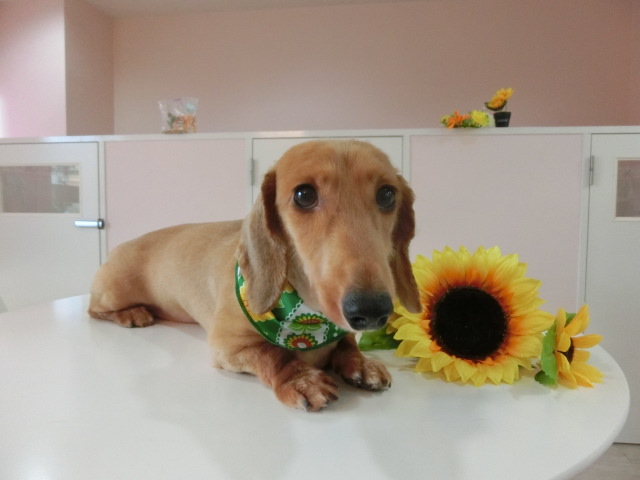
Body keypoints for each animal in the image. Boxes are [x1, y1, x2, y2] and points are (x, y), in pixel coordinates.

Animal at [88, 140, 421, 411]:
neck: (307, 316)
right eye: (303, 195)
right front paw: (300, 379)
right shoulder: (226, 346)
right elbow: (271, 354)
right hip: (112, 292)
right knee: (94, 310)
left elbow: (348, 344)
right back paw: (133, 313)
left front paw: (361, 364)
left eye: (387, 194)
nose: (372, 310)